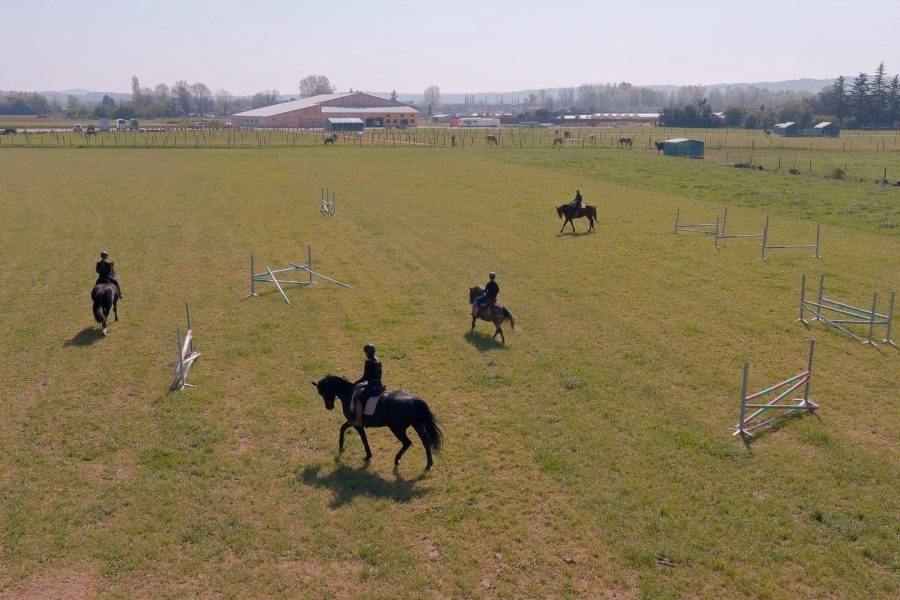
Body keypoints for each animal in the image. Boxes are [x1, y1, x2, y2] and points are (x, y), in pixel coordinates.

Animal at [312, 376, 444, 468]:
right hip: (417, 425)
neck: (348, 393)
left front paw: (367, 455)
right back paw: (428, 465)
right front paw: (341, 448)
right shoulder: (352, 422)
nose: (329, 407)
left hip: (397, 428)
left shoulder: (356, 423)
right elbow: (343, 428)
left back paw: (397, 460)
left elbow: (361, 438)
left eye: (322, 391)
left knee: (407, 442)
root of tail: (413, 399)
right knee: (425, 442)